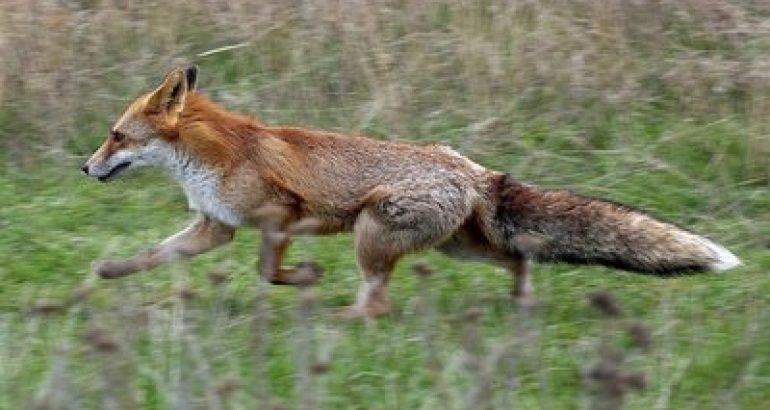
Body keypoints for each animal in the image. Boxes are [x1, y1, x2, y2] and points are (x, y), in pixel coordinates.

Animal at [82, 66, 741, 318]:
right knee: (518, 258)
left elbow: (270, 272)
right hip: (456, 247)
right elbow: (155, 255)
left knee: (377, 303)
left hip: (372, 236)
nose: (86, 168)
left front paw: (305, 280)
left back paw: (340, 317)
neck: (211, 157)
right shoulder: (214, 225)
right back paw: (522, 303)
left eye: (115, 135)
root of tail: (473, 169)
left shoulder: (278, 215)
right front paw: (109, 272)